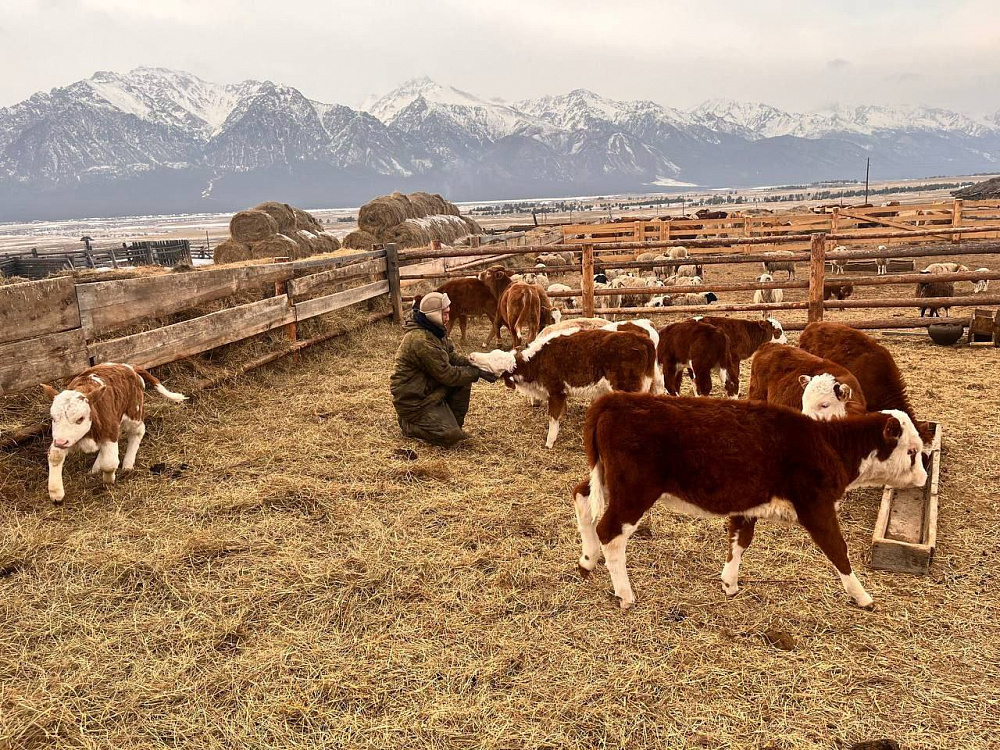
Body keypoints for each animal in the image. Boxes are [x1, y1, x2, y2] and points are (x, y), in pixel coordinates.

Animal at [42, 363, 187, 503]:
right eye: (53, 418)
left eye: (80, 418)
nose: (61, 442)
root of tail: (129, 366)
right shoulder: (64, 438)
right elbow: (55, 456)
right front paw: (56, 493)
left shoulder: (110, 433)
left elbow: (110, 463)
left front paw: (108, 480)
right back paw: (95, 468)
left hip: (134, 414)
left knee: (139, 431)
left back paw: (128, 464)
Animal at [470, 327, 659, 448]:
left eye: (494, 362)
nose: (471, 356)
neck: (537, 360)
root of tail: (643, 340)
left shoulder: (555, 391)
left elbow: (552, 417)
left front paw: (549, 442)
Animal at [572, 392, 927, 610]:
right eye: (912, 451)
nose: (924, 478)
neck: (828, 445)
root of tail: (614, 400)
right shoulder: (816, 505)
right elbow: (838, 550)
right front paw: (863, 596)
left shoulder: (747, 506)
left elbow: (740, 541)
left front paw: (729, 583)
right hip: (634, 491)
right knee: (610, 532)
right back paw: (625, 594)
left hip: (605, 480)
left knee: (582, 499)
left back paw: (587, 561)